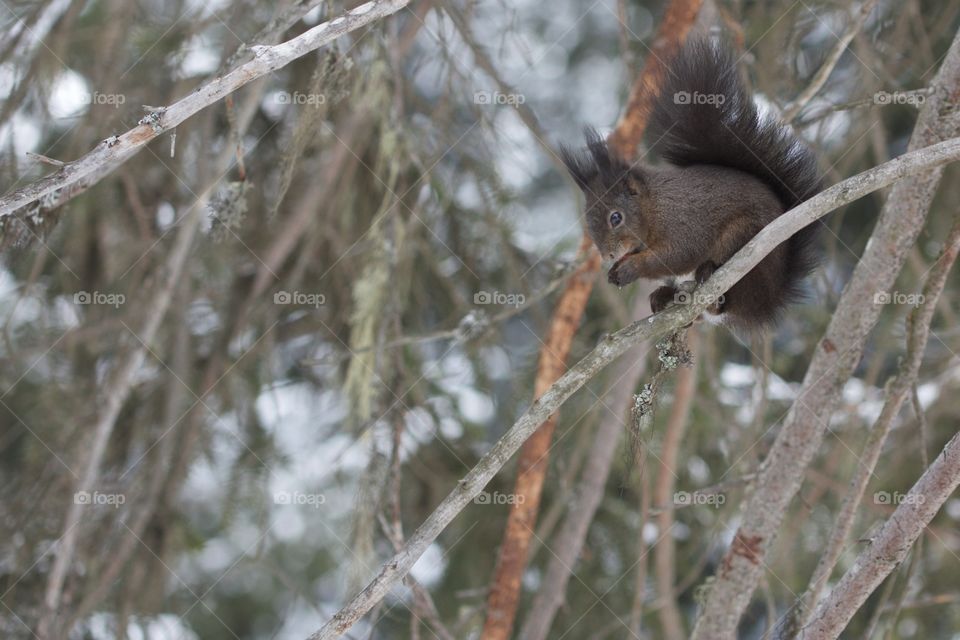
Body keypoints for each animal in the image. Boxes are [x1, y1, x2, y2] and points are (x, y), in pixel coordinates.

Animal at [560, 38, 820, 330]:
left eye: (616, 217)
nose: (608, 257)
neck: (654, 206)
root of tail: (770, 297)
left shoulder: (683, 222)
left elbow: (678, 255)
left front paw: (630, 268)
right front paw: (618, 269)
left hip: (745, 240)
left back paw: (708, 275)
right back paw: (666, 295)